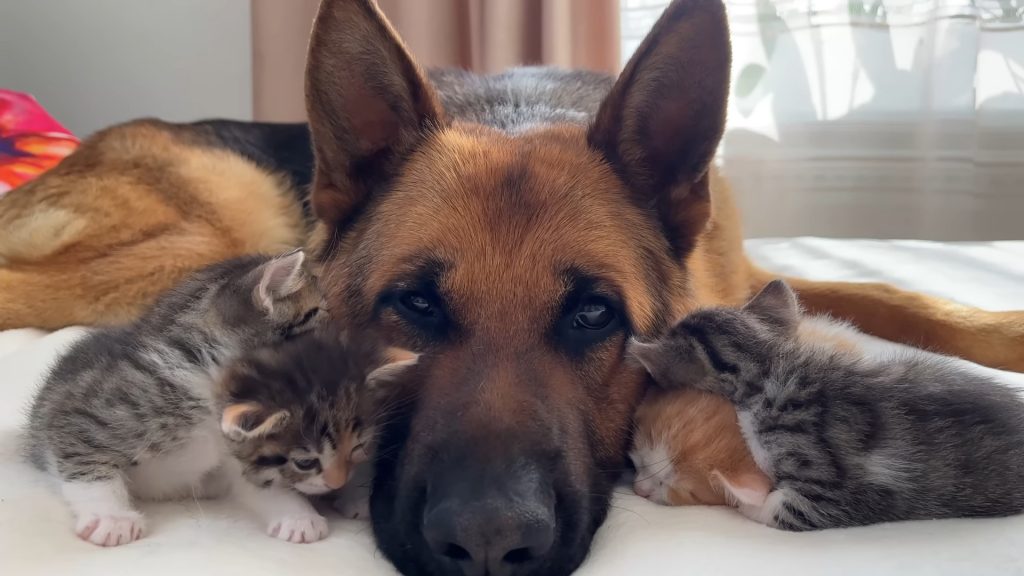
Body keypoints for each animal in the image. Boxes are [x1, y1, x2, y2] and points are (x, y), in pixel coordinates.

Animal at [626, 278, 1024, 528]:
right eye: (636, 460)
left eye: (680, 490)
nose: (639, 489)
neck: (774, 365)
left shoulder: (831, 480)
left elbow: (790, 507)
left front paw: (749, 505)